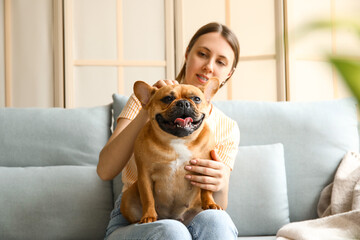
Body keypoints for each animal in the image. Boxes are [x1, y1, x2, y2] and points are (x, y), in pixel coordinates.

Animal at [120, 77, 222, 225]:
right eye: (167, 98)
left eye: (196, 99)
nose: (184, 103)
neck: (178, 140)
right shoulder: (144, 175)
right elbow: (148, 197)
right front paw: (149, 216)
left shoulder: (206, 169)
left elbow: (206, 190)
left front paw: (210, 203)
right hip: (127, 198)